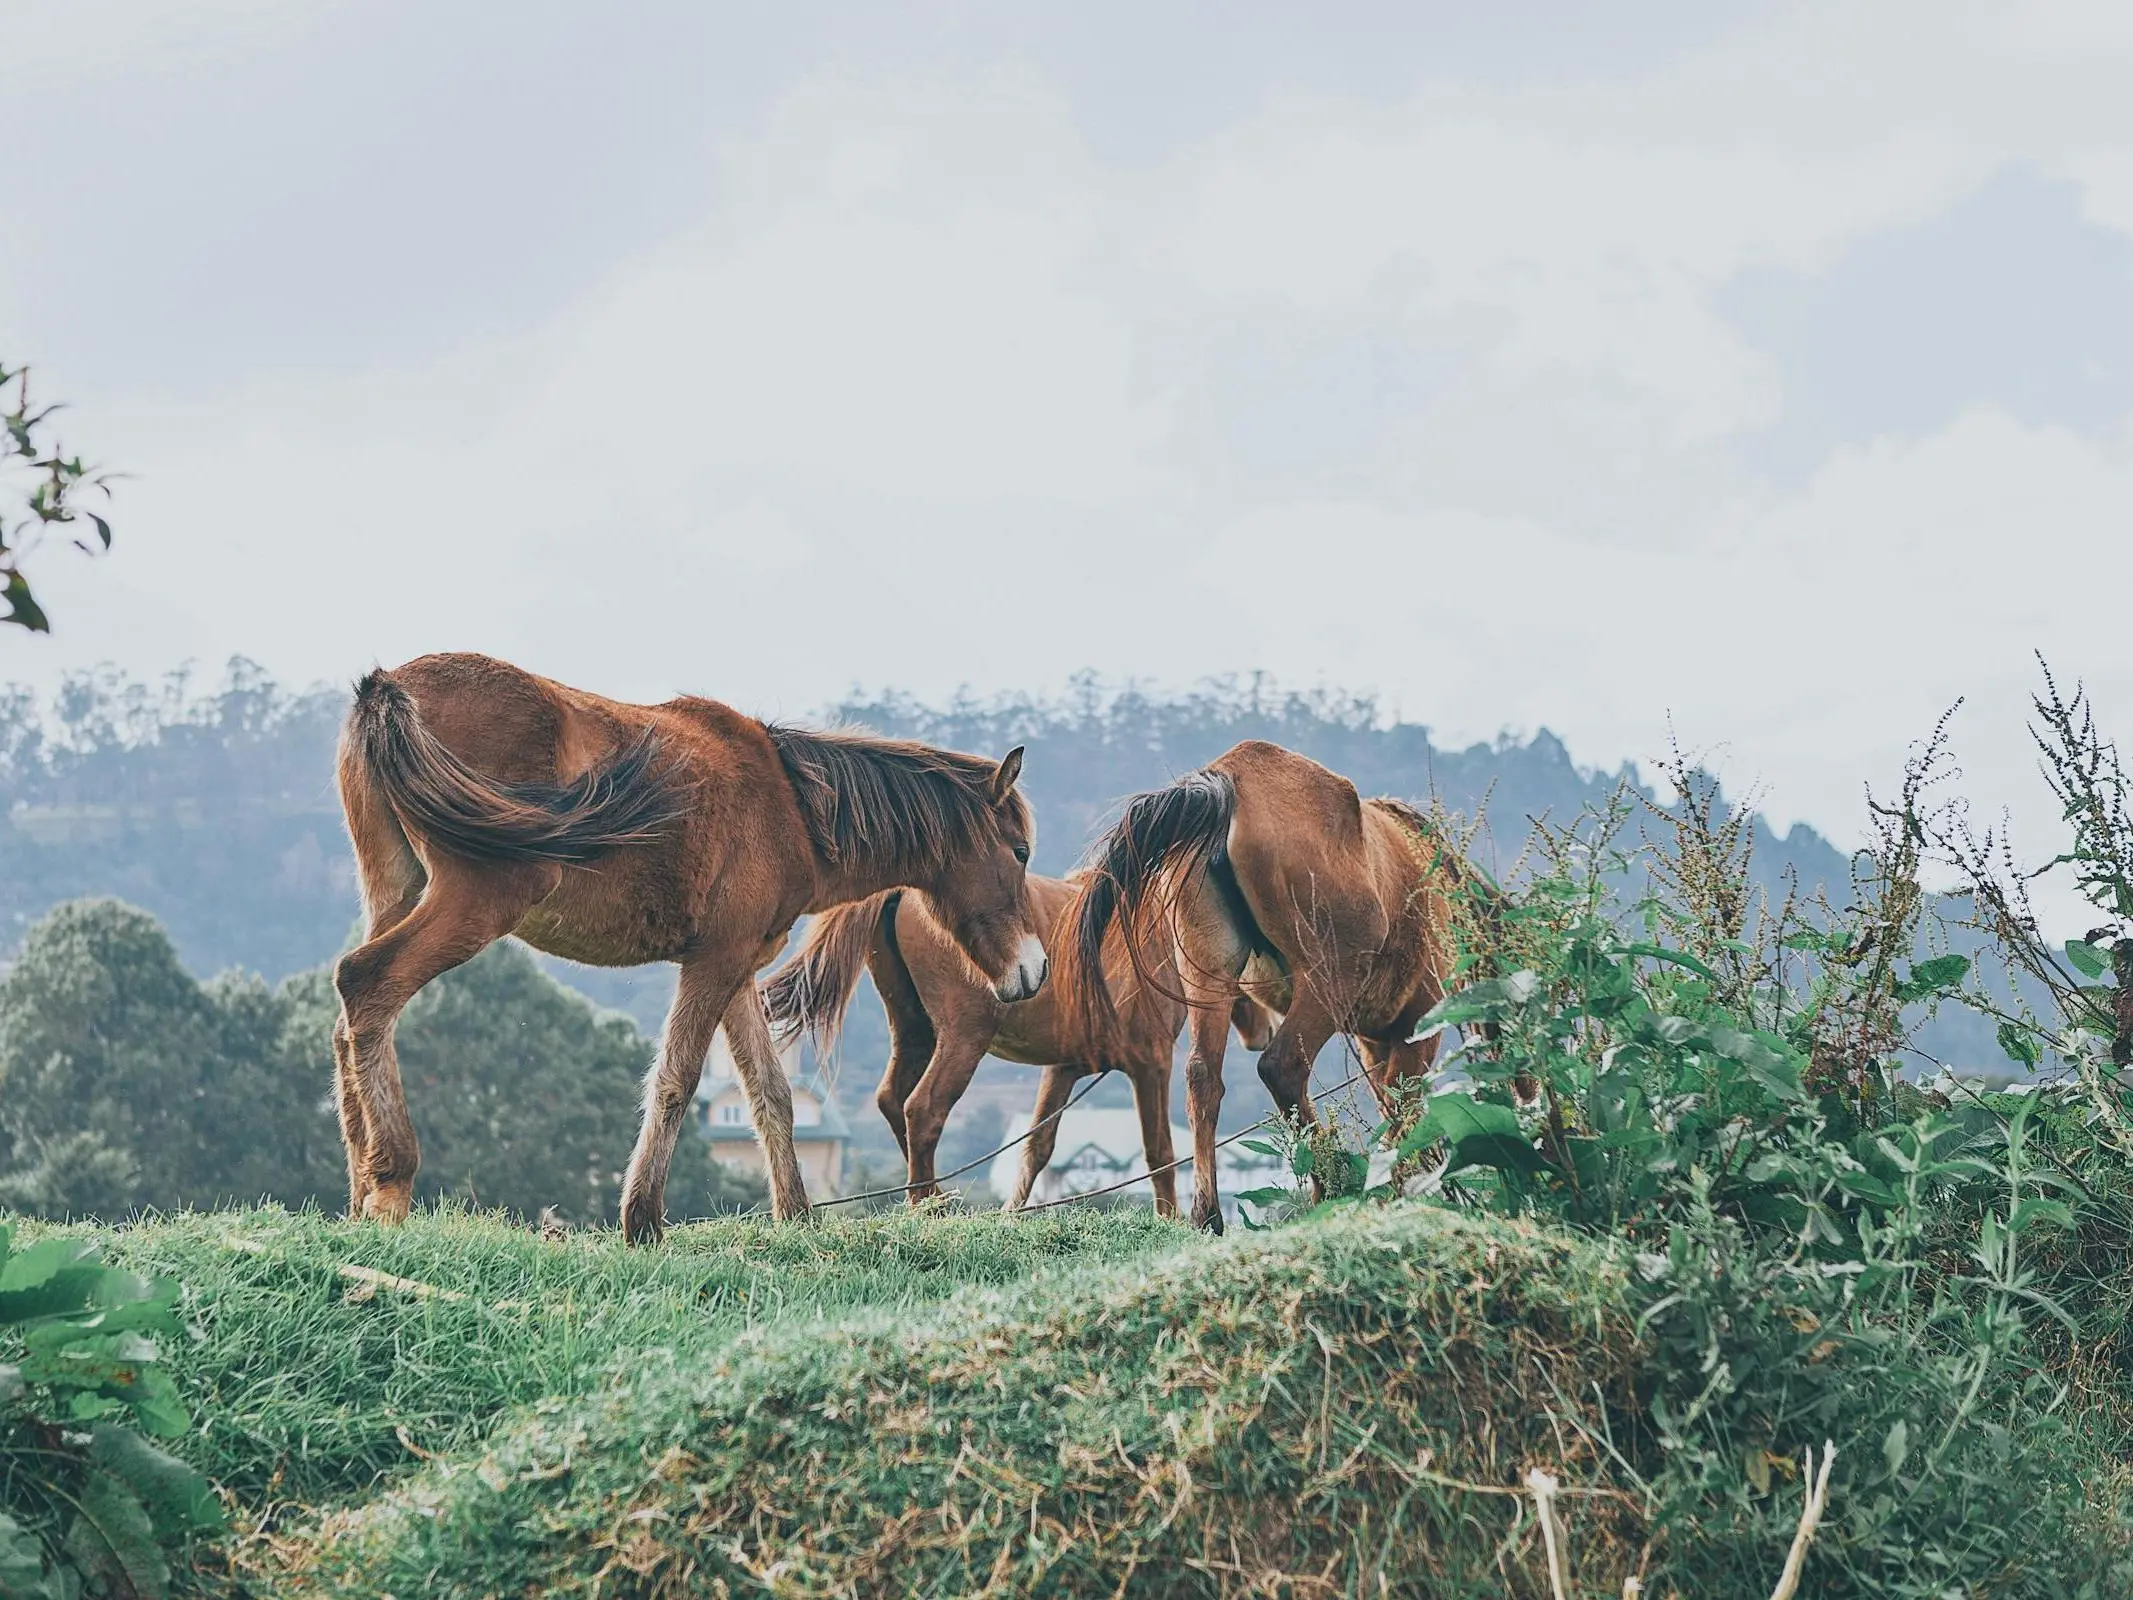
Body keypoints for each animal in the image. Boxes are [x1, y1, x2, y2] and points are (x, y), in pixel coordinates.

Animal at [326, 657, 1049, 1245]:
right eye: (1018, 852)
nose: (1034, 969)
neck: (792, 805)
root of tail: (389, 687)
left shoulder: (737, 969)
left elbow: (770, 1094)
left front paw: (795, 1214)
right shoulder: (714, 962)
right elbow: (676, 1081)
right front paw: (642, 1219)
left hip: (394, 891)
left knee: (346, 1021)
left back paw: (360, 1189)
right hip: (476, 900)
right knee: (369, 984)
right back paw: (390, 1179)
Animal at [763, 878, 1271, 1211]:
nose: (1261, 1034)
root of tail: (902, 891)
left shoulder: (1065, 1068)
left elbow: (1035, 1150)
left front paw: (1011, 1215)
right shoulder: (1151, 1062)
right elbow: (1159, 1154)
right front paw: (1171, 1221)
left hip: (913, 1030)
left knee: (892, 1100)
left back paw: (935, 1198)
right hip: (963, 1035)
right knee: (922, 1110)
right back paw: (927, 1206)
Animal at [1066, 746, 1484, 1237]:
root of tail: (1226, 783)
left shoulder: (1375, 1042)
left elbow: (1392, 1106)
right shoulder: (1415, 1029)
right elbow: (1404, 1109)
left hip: (1210, 971)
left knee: (1203, 1075)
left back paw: (1208, 1215)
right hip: (1327, 979)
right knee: (1282, 1066)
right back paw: (1333, 1186)